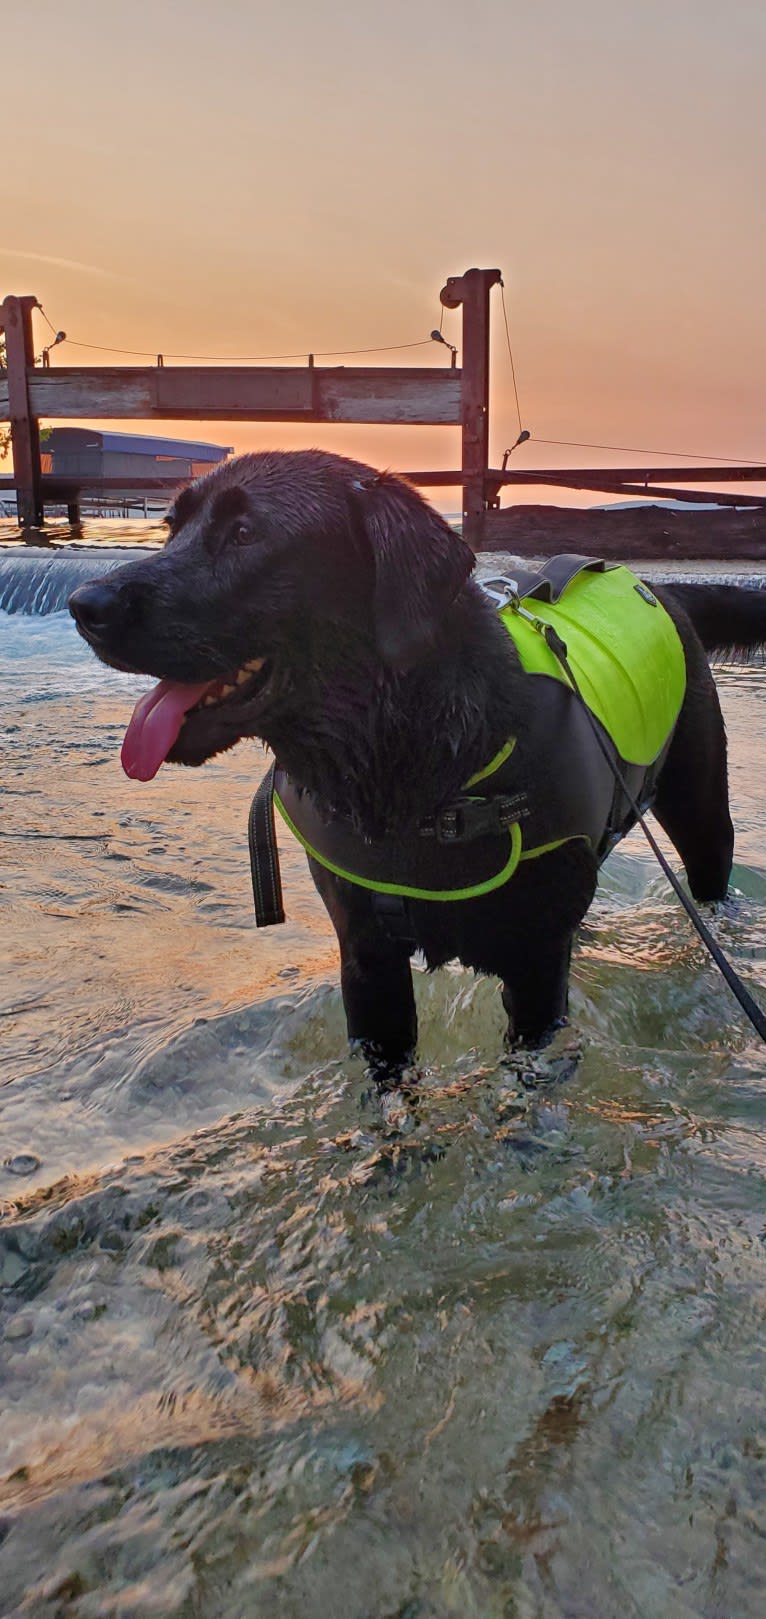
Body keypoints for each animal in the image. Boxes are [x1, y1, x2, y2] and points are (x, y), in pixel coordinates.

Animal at [70, 450, 764, 1068]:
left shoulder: (536, 974)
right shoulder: (367, 961)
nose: (84, 605)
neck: (413, 764)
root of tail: (663, 588)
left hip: (700, 811)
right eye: (172, 528)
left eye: (244, 533)